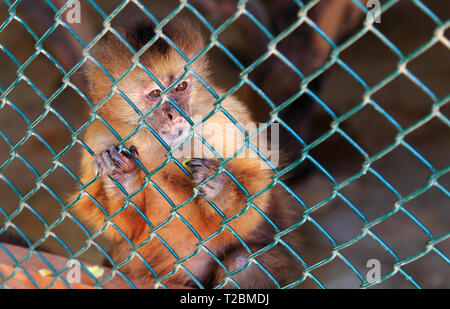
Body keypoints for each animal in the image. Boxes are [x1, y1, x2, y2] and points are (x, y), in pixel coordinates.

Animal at [70, 18, 302, 288]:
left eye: (181, 86)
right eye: (155, 94)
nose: (175, 114)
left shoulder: (223, 118)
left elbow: (253, 203)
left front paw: (219, 189)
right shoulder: (99, 133)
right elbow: (124, 230)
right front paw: (123, 178)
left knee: (242, 264)